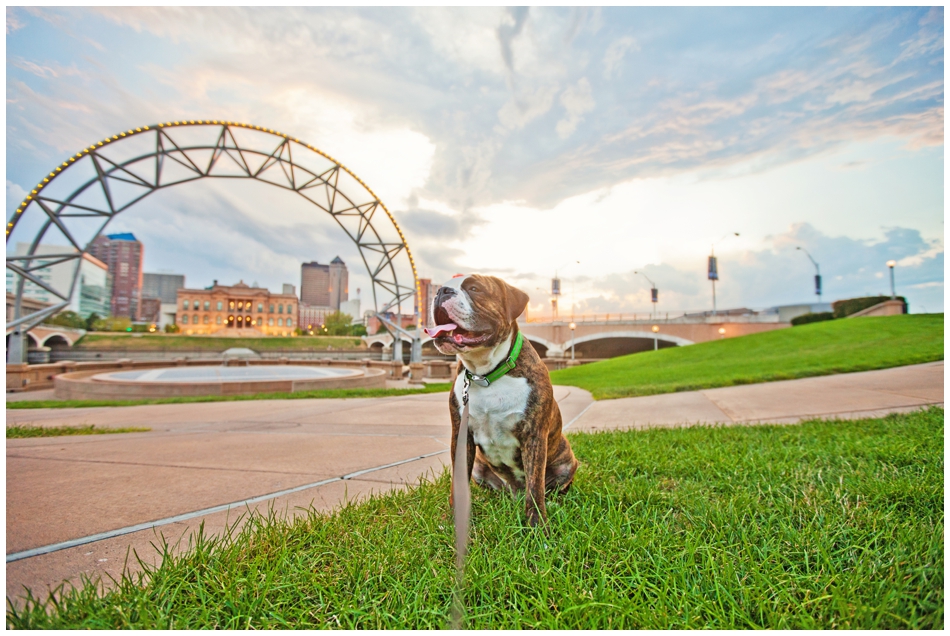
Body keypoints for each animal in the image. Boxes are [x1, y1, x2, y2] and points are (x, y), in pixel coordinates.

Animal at [426, 274, 580, 528]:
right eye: (441, 287)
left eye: (474, 289)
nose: (441, 291)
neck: (486, 374)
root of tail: (514, 492)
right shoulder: (461, 434)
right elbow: (457, 483)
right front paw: (453, 519)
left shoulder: (534, 436)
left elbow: (535, 488)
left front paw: (537, 526)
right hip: (479, 467)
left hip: (568, 462)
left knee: (550, 488)